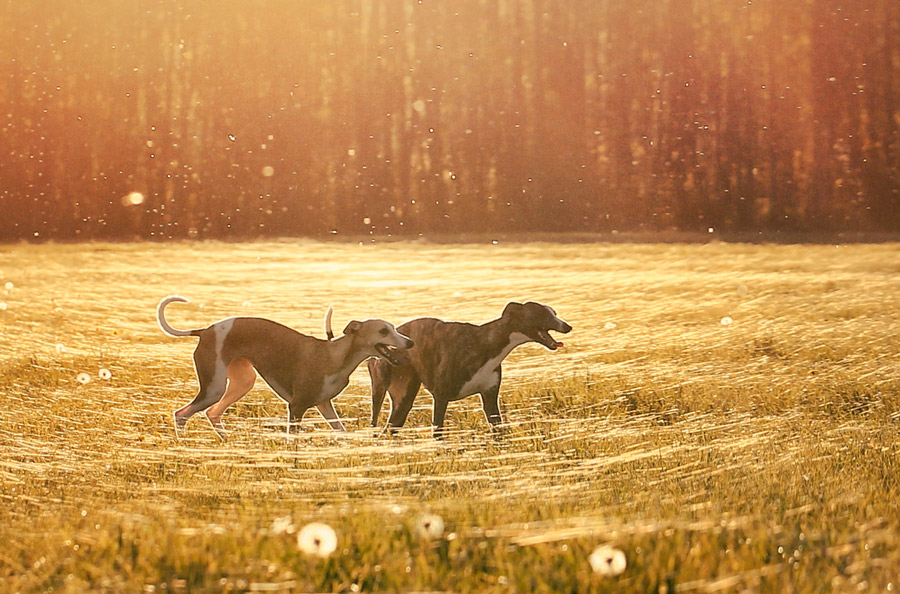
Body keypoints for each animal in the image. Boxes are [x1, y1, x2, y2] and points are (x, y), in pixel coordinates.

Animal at [159, 294, 414, 438]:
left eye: (394, 328)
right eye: (383, 331)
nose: (410, 343)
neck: (335, 355)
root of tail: (205, 331)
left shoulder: (323, 404)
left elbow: (341, 432)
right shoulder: (296, 407)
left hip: (242, 382)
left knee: (212, 413)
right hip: (214, 388)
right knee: (181, 414)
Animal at [364, 300, 568, 434]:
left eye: (554, 312)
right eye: (542, 314)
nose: (568, 327)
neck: (484, 343)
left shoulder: (490, 397)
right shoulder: (441, 397)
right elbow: (438, 433)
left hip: (402, 401)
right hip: (385, 390)